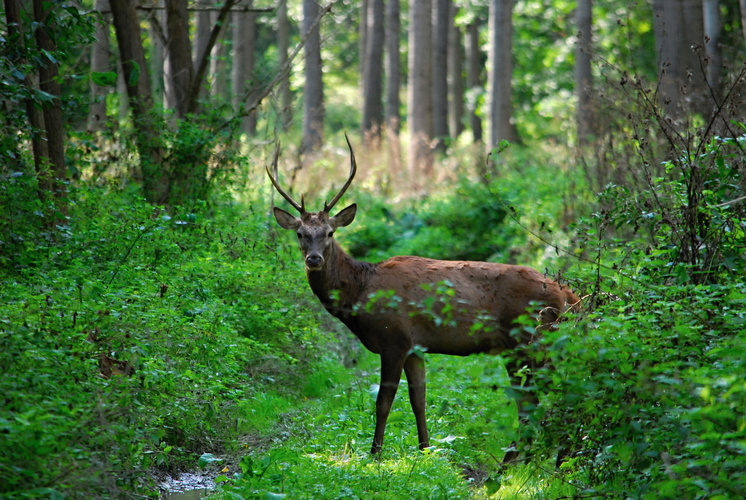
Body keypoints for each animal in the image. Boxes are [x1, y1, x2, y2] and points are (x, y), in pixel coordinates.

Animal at [264, 137, 580, 460]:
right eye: (300, 233)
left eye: (329, 232)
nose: (314, 259)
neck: (361, 293)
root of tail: (567, 291)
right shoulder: (416, 346)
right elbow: (419, 399)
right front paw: (426, 450)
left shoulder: (394, 338)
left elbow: (383, 402)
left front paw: (375, 455)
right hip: (521, 347)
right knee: (532, 401)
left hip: (534, 339)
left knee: (556, 391)